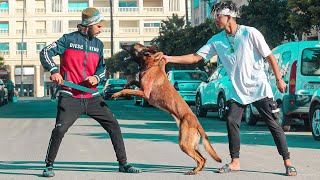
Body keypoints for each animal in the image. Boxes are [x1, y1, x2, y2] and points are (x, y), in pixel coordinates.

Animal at [111, 43, 221, 174]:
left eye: (132, 46)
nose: (122, 44)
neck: (150, 65)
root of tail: (197, 122)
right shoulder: (141, 86)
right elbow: (133, 81)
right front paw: (126, 84)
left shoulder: (144, 93)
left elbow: (127, 90)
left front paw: (116, 94)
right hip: (192, 144)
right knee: (203, 158)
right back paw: (196, 169)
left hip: (184, 143)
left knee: (199, 158)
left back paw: (193, 172)